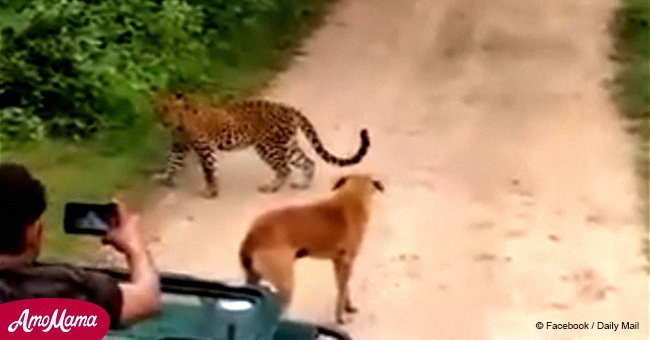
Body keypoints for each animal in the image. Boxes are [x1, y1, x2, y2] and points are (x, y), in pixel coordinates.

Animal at [149, 90, 368, 198]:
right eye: (159, 109)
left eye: (168, 109)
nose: (163, 121)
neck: (181, 119)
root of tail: (289, 109)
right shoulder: (179, 147)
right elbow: (172, 164)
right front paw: (164, 178)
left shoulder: (205, 148)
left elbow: (208, 171)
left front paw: (210, 192)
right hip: (287, 144)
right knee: (307, 162)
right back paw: (302, 184)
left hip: (267, 146)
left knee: (284, 168)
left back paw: (271, 187)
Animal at [238, 174, 382, 322]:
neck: (352, 196)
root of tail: (253, 234)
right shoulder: (346, 262)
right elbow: (342, 290)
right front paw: (341, 315)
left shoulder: (338, 262)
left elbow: (343, 287)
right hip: (285, 284)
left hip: (255, 279)